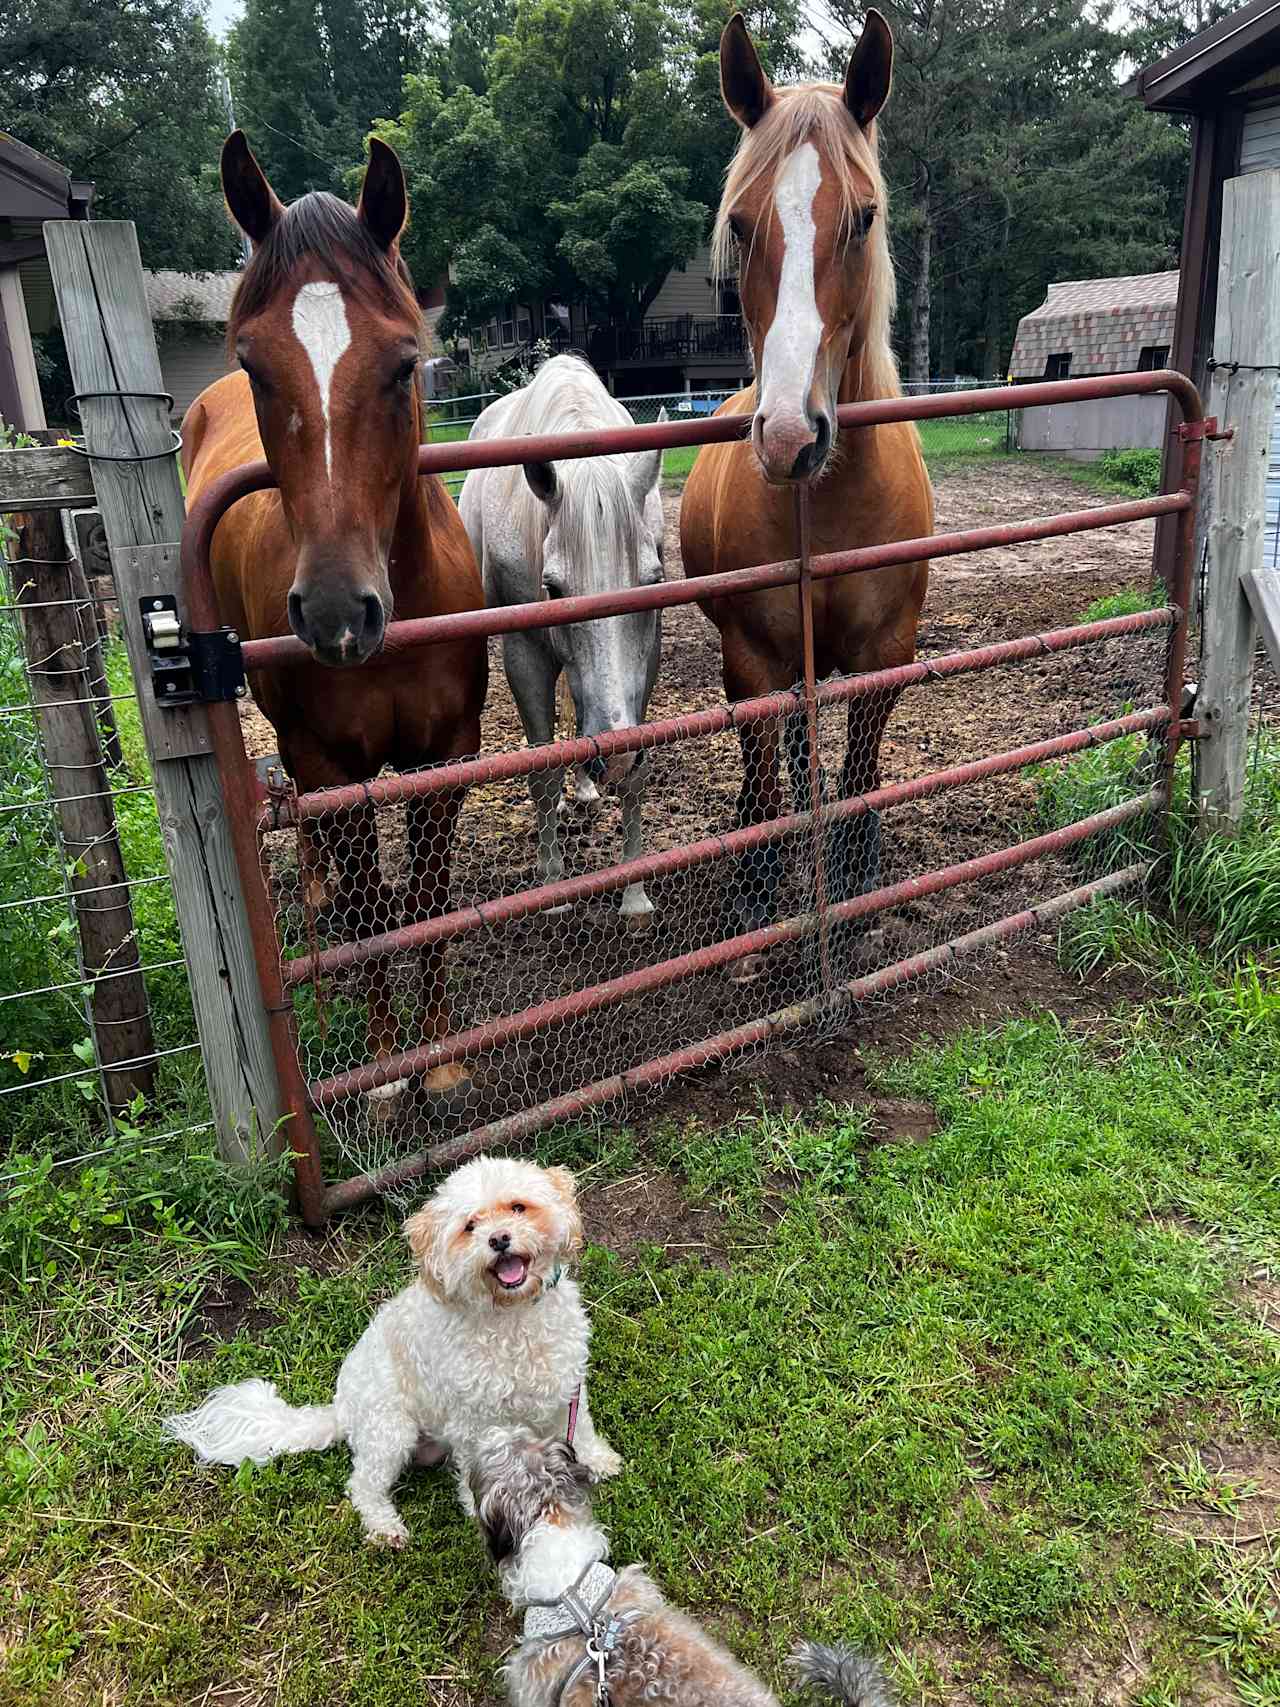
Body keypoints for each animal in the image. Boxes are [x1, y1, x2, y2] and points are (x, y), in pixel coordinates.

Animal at [160, 1160, 621, 1549]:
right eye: (470, 1226)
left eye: (518, 1207)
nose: (499, 1239)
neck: (513, 1316)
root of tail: (340, 1410)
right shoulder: (474, 1421)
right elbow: (478, 1471)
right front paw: (480, 1510)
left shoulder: (568, 1385)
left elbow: (581, 1430)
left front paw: (600, 1461)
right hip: (390, 1430)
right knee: (363, 1485)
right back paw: (385, 1529)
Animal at [185, 133, 491, 1119]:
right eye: (256, 365)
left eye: (401, 363)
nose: (333, 612)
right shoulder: (332, 763)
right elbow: (369, 913)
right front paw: (390, 1066)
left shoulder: (446, 755)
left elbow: (425, 900)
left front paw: (444, 1059)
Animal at [467, 353, 675, 928]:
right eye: (554, 589)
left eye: (652, 579)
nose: (615, 753)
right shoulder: (525, 654)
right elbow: (541, 774)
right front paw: (554, 889)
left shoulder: (644, 662)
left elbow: (635, 775)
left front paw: (634, 895)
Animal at [682, 13, 935, 969]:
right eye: (741, 223)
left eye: (862, 218)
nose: (791, 436)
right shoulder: (753, 658)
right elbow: (760, 773)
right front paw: (757, 884)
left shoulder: (885, 652)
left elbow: (861, 769)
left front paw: (858, 872)